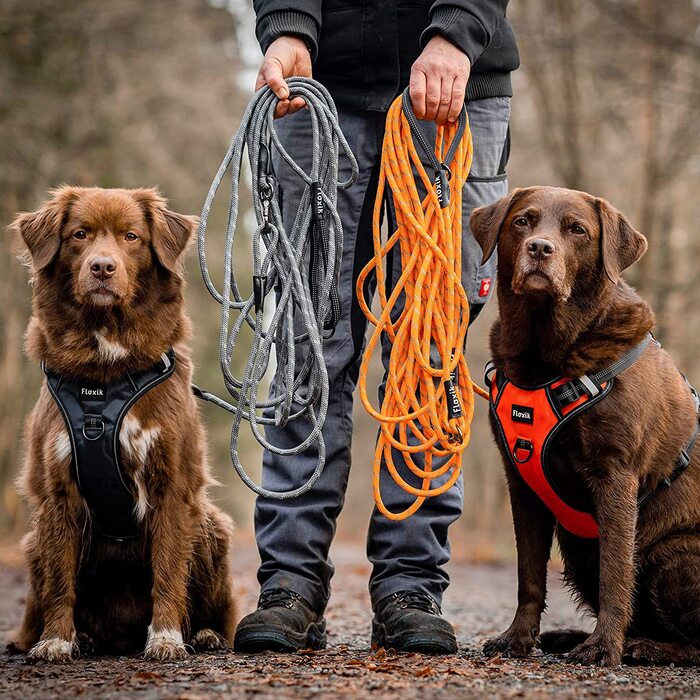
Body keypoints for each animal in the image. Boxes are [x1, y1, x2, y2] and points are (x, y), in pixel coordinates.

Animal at [6, 187, 235, 660]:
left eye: (131, 237)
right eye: (79, 235)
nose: (102, 267)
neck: (105, 370)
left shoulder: (172, 483)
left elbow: (168, 569)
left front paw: (166, 638)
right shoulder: (57, 488)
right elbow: (60, 581)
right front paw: (55, 641)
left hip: (212, 526)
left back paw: (204, 634)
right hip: (32, 541)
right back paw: (79, 638)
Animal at [470, 186, 700, 668]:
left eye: (577, 230)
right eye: (523, 221)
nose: (540, 248)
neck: (545, 357)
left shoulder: (615, 475)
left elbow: (616, 572)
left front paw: (602, 646)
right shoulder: (520, 482)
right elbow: (529, 575)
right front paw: (517, 639)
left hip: (672, 554)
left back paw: (642, 646)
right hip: (577, 550)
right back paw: (568, 636)